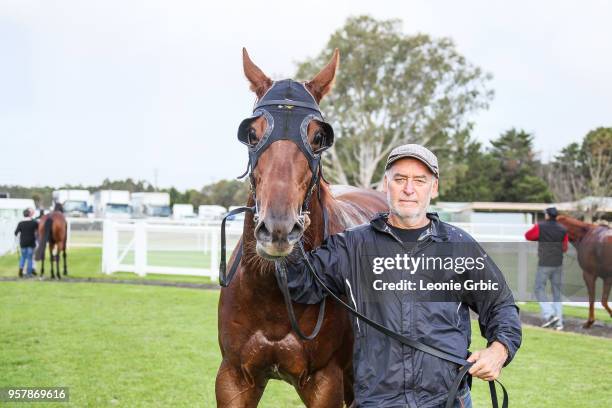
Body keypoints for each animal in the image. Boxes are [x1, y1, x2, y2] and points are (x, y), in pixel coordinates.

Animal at [215, 49, 388, 406]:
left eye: (319, 137)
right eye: (252, 134)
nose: (277, 229)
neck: (274, 292)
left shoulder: (326, 382)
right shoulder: (233, 378)